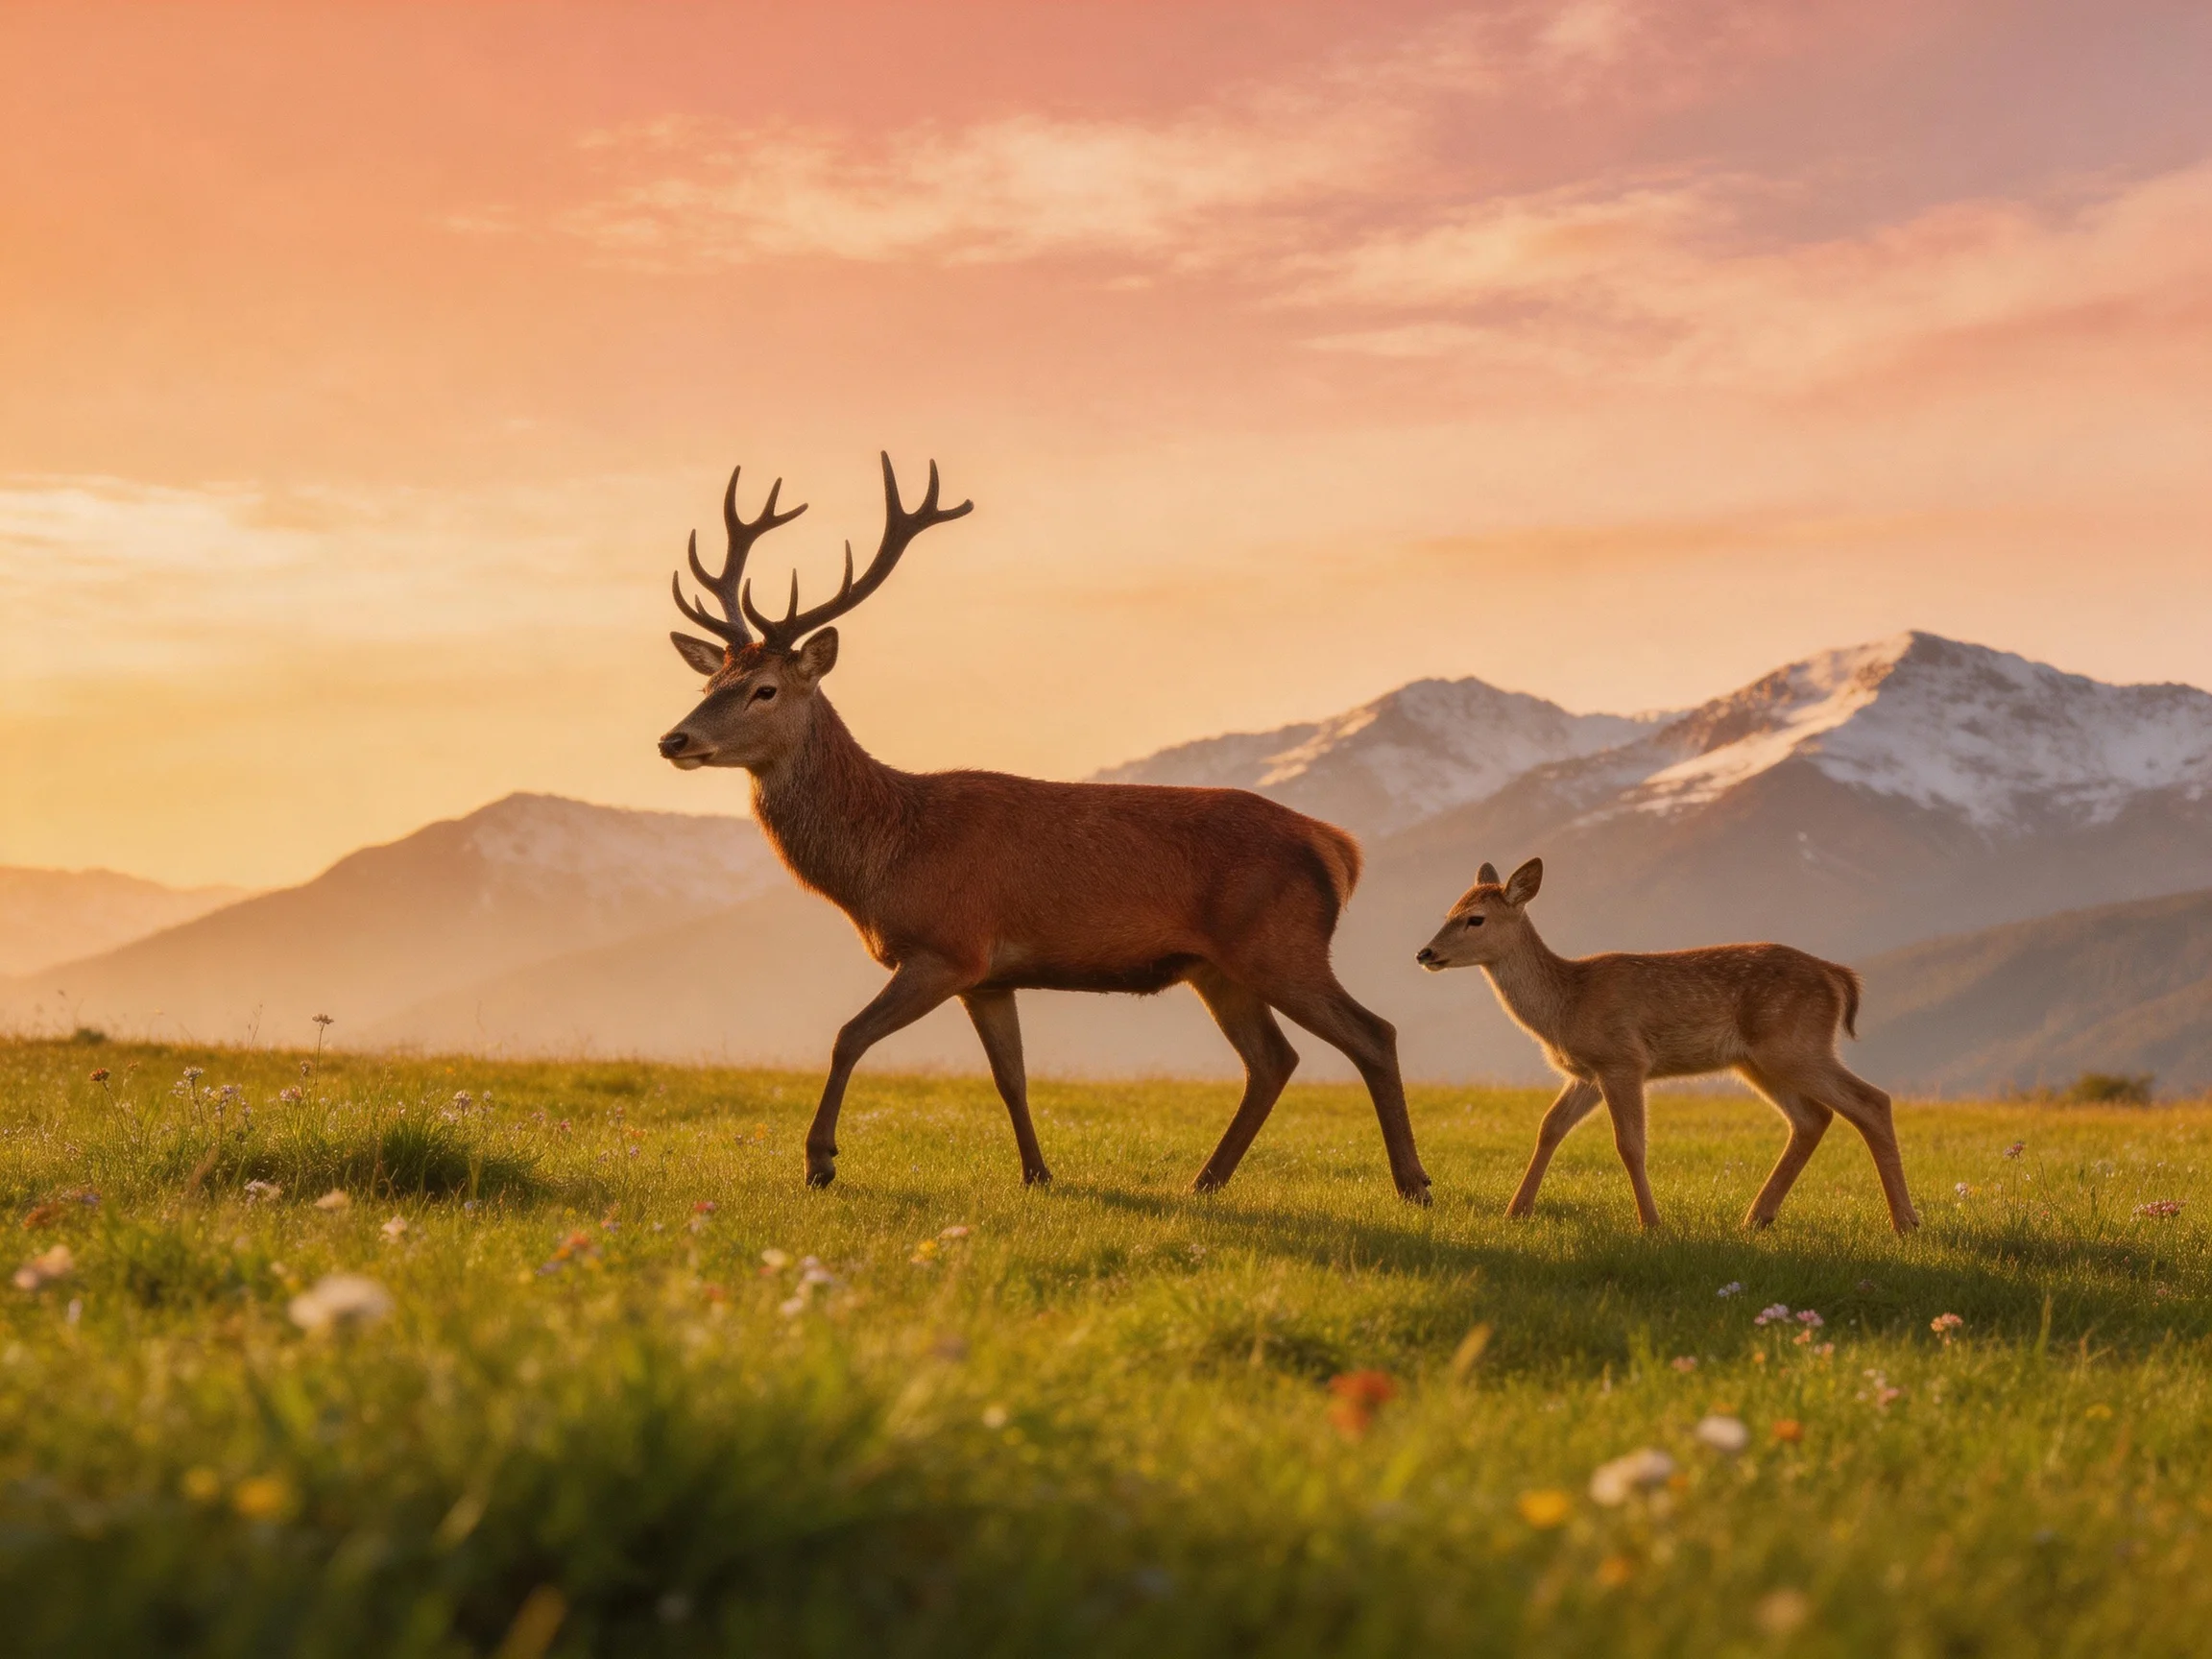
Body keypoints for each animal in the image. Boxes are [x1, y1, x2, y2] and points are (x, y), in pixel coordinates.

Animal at [656, 454, 1430, 1203]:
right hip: (1217, 966)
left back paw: (1412, 1184)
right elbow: (1011, 1076)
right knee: (1273, 1059)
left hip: (1281, 943)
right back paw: (1206, 1181)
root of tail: (1338, 848)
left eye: (765, 690)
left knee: (1374, 1033)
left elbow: (848, 1037)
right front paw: (1038, 1173)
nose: (673, 739)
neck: (884, 858)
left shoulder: (947, 946)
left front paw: (819, 1162)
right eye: (708, 684)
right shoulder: (990, 977)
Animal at [1415, 858, 1918, 1234]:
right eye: (1449, 912)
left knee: (1872, 1101)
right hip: (1758, 1061)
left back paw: (1905, 1222)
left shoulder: (1623, 1059)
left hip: (1795, 1044)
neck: (1566, 1004)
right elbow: (1549, 1127)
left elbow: (1630, 1144)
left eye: (1475, 919)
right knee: (1813, 1118)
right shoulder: (1588, 1072)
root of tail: (1839, 976)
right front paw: (1515, 1211)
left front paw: (1651, 1223)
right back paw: (1757, 1217)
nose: (1424, 953)